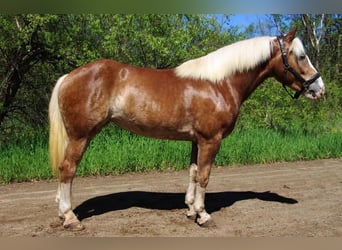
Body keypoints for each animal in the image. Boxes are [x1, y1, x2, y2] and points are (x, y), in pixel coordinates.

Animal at [48, 27, 326, 230]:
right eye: (301, 56)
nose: (319, 89)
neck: (219, 84)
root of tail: (68, 76)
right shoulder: (211, 140)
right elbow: (204, 176)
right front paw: (203, 215)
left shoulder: (196, 140)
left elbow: (193, 173)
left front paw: (191, 209)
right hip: (81, 136)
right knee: (67, 169)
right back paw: (70, 218)